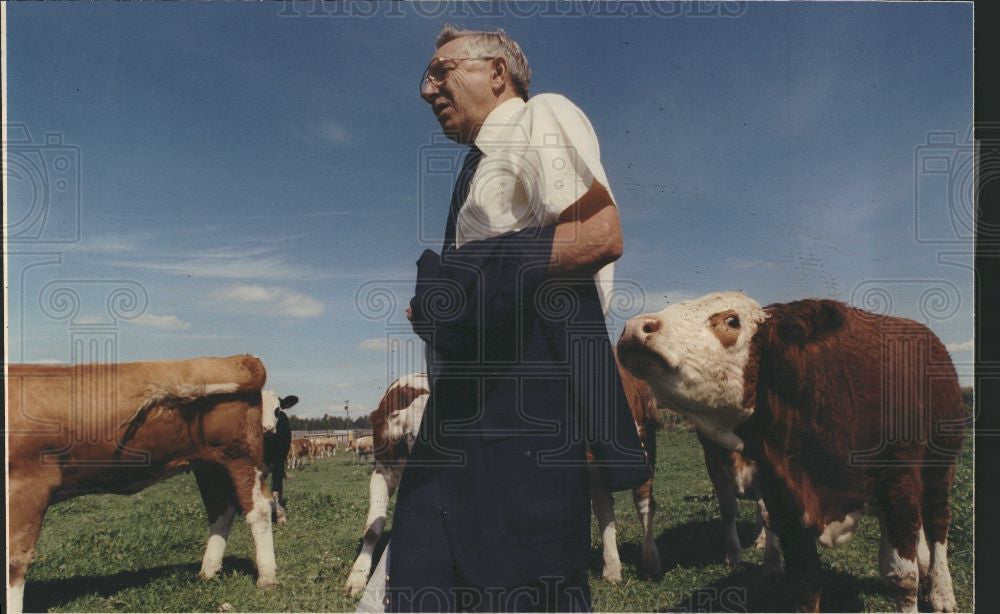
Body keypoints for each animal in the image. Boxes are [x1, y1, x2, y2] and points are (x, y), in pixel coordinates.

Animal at [7, 356, 282, 614]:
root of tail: (240, 358)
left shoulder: (26, 485)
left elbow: (15, 559)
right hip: (209, 465)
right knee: (220, 509)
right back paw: (208, 572)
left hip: (241, 457)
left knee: (258, 509)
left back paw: (267, 578)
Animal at [620, 294, 964, 614]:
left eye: (732, 321)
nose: (636, 327)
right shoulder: (784, 497)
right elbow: (805, 582)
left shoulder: (899, 486)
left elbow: (901, 578)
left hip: (940, 465)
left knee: (938, 523)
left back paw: (941, 591)